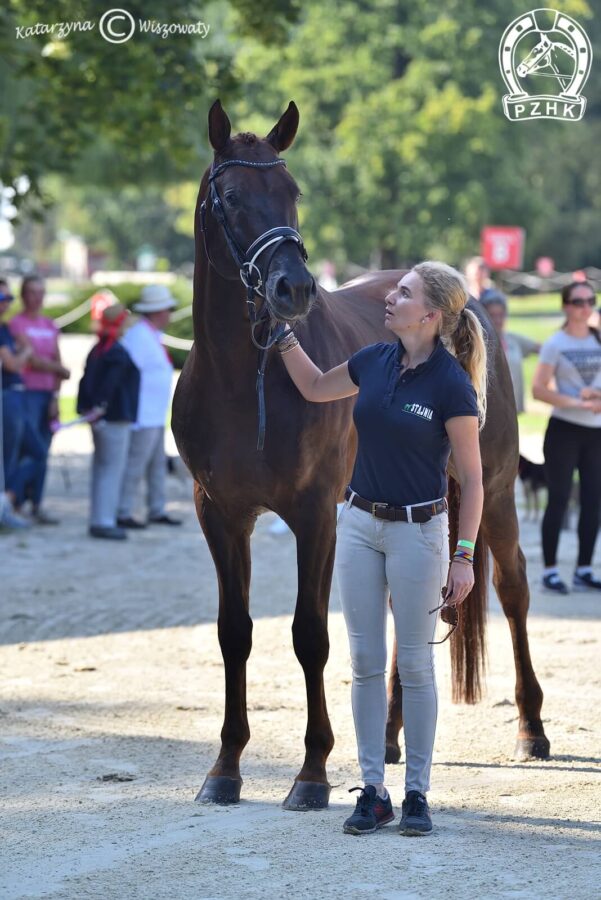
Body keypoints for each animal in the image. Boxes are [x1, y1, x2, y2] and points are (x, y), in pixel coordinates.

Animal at [171, 102, 552, 812]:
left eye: (291, 191)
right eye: (231, 198)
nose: (292, 289)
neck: (242, 381)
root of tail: (470, 301)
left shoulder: (316, 515)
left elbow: (309, 636)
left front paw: (312, 772)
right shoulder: (220, 514)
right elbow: (234, 632)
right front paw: (226, 767)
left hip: (495, 488)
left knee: (513, 589)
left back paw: (530, 728)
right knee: (412, 610)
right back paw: (396, 735)